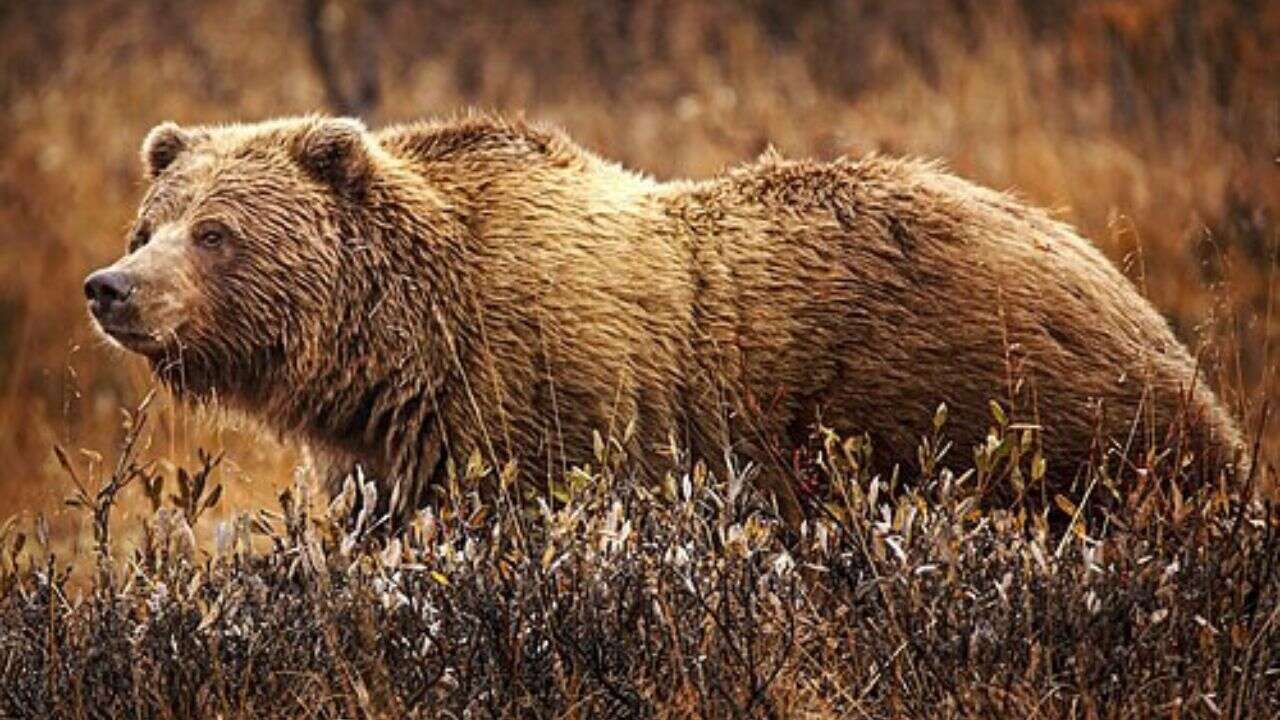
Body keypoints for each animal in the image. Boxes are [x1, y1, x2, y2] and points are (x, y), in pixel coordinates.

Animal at [84, 113, 1243, 522]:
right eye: (151, 221)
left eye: (217, 233)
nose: (111, 287)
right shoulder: (395, 452)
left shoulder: (547, 407)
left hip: (1016, 413)